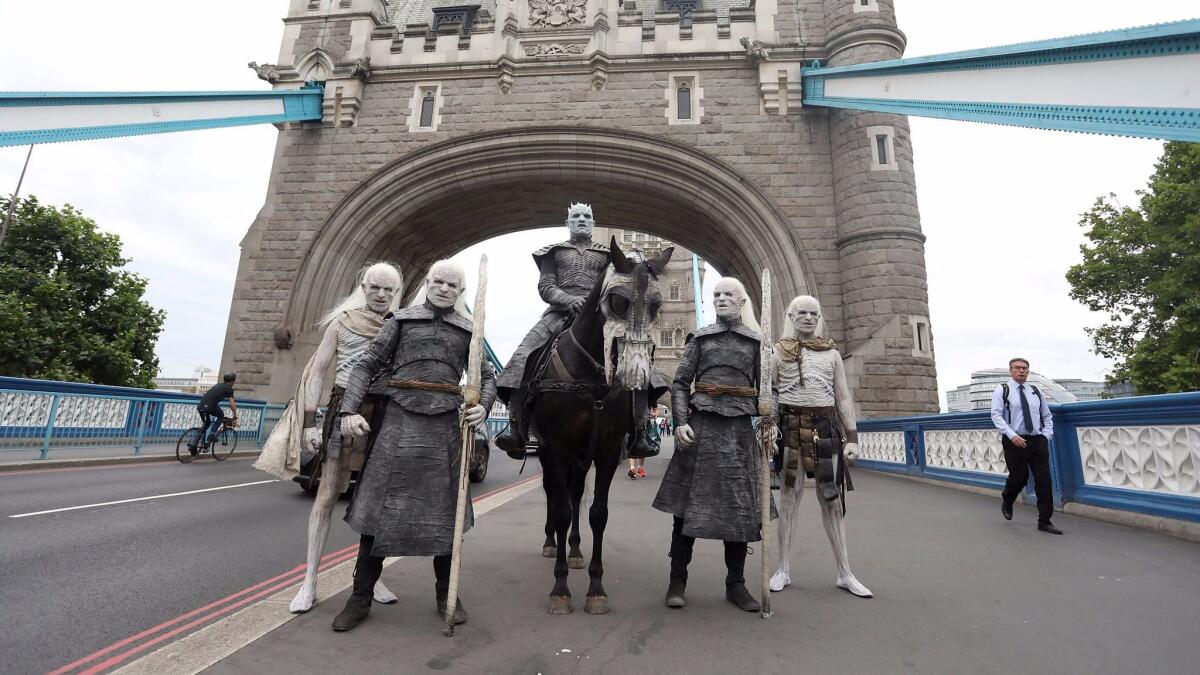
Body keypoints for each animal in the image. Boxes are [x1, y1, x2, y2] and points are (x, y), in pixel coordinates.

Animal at [530, 237, 672, 614]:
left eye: (657, 305)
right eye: (618, 301)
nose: (635, 373)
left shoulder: (607, 450)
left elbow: (598, 513)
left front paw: (595, 587)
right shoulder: (557, 448)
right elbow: (561, 511)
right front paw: (560, 588)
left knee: (577, 493)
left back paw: (575, 550)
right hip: (549, 453)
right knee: (553, 494)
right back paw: (551, 544)